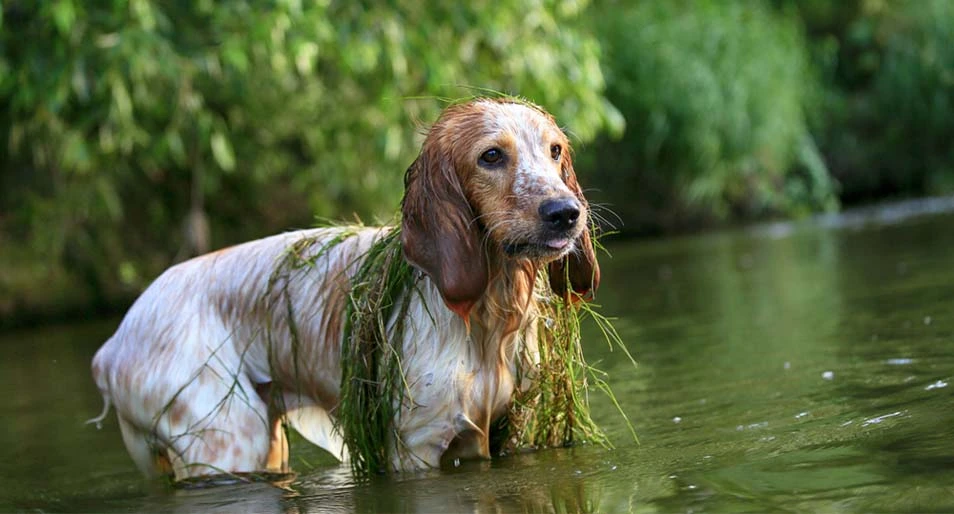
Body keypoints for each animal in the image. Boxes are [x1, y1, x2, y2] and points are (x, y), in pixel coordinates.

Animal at [87, 97, 596, 480]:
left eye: (554, 151)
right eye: (491, 155)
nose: (566, 212)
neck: (486, 318)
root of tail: (113, 343)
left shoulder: (505, 430)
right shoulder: (415, 447)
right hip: (228, 442)